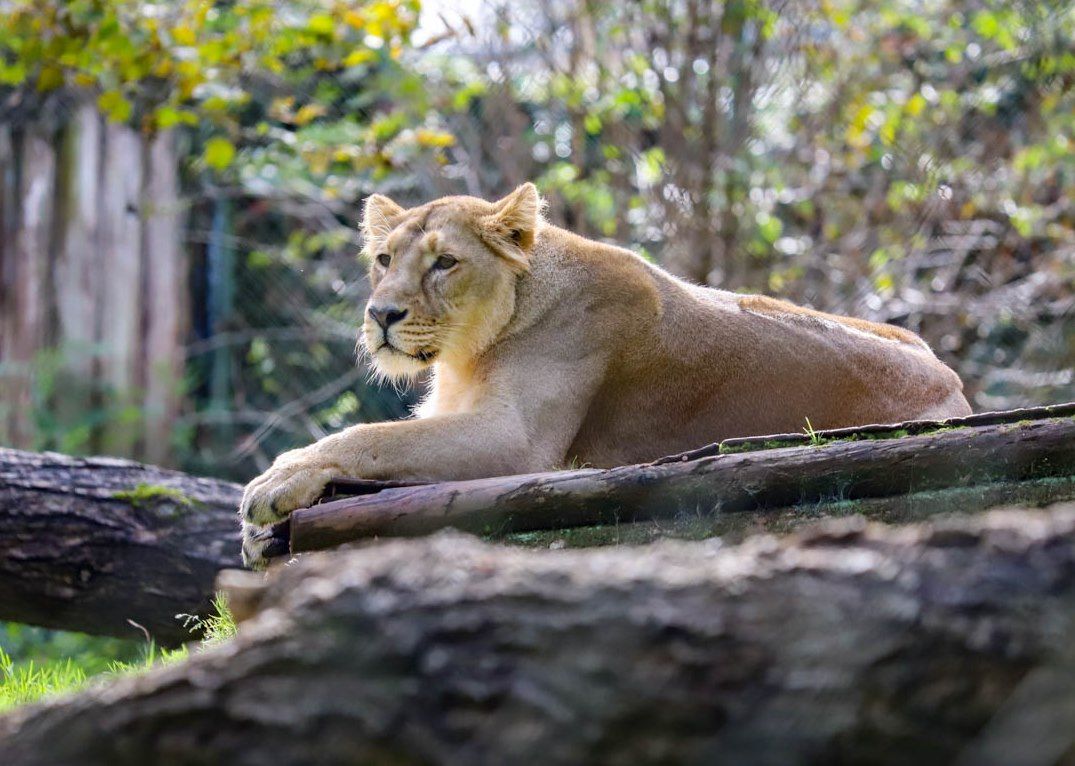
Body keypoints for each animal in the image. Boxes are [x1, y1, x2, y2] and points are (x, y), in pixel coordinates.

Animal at [239, 182, 971, 562]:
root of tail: (954, 383)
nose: (381, 314)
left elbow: (373, 437)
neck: (468, 352)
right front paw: (256, 535)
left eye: (444, 262)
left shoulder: (517, 441)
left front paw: (277, 481)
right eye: (384, 259)